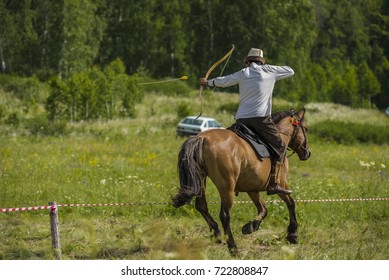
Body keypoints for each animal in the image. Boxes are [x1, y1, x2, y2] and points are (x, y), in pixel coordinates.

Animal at [171, 107, 310, 254]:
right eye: (306, 129)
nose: (307, 153)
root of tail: (201, 137)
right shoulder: (281, 184)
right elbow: (291, 203)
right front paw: (293, 234)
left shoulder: (253, 189)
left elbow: (263, 209)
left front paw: (251, 226)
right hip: (227, 187)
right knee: (225, 215)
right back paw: (233, 247)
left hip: (202, 178)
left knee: (201, 206)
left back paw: (216, 233)